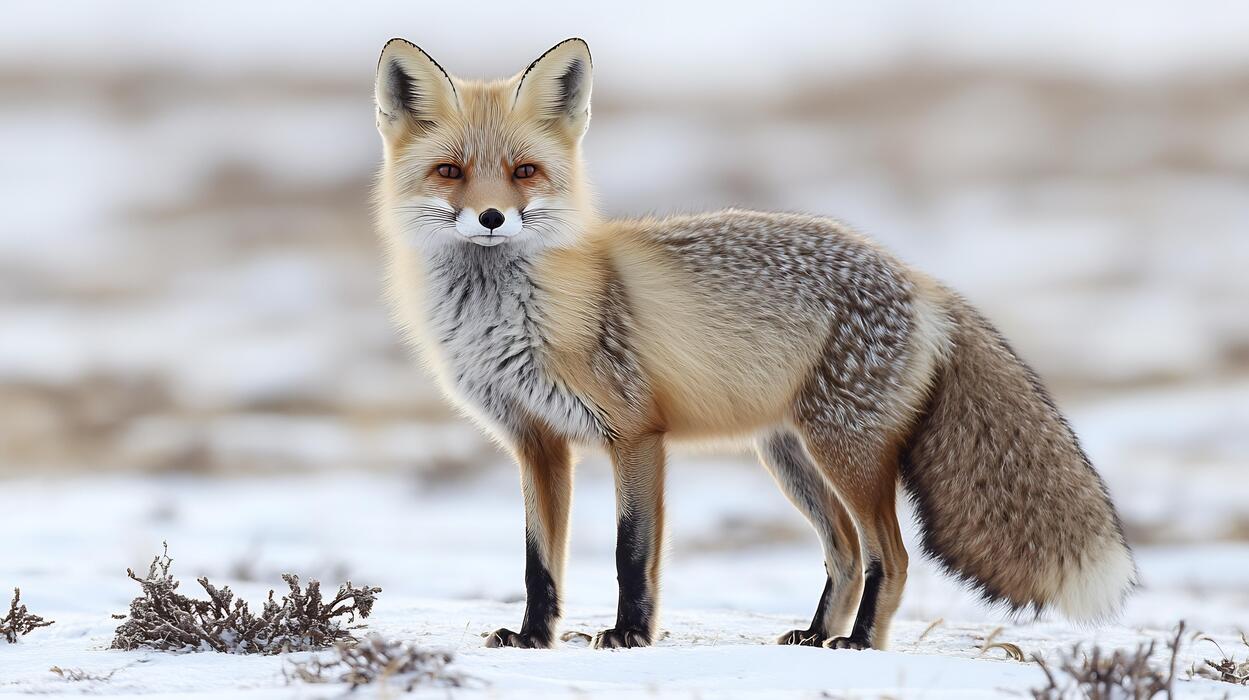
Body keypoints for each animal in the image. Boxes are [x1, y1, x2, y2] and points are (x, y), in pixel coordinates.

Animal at [371, 37, 1137, 651]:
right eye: (450, 171)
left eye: (524, 171)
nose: (491, 218)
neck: (511, 318)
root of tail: (918, 278)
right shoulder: (537, 443)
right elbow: (538, 564)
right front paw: (533, 639)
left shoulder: (636, 433)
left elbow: (631, 555)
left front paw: (629, 636)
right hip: (790, 456)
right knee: (845, 553)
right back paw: (815, 635)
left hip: (845, 452)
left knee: (890, 555)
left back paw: (858, 644)